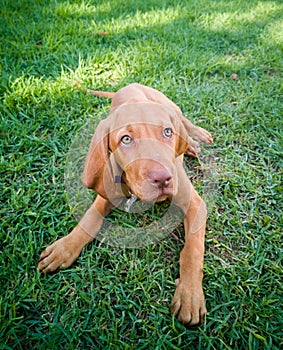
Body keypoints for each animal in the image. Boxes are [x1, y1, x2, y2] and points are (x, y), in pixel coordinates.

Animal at [38, 82, 213, 326]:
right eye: (126, 139)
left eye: (167, 132)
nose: (163, 179)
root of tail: (129, 85)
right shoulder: (108, 192)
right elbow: (89, 219)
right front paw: (65, 248)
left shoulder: (195, 204)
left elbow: (193, 249)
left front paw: (190, 294)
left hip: (168, 103)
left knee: (183, 120)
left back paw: (195, 138)